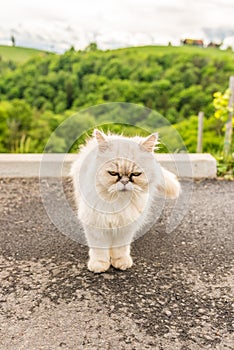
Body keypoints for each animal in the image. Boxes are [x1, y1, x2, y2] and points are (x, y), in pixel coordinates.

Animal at [71, 129, 181, 274]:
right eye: (112, 173)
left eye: (136, 174)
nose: (124, 181)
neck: (118, 203)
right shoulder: (95, 223)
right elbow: (99, 249)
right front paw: (99, 265)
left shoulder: (126, 225)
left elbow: (120, 248)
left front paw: (120, 262)